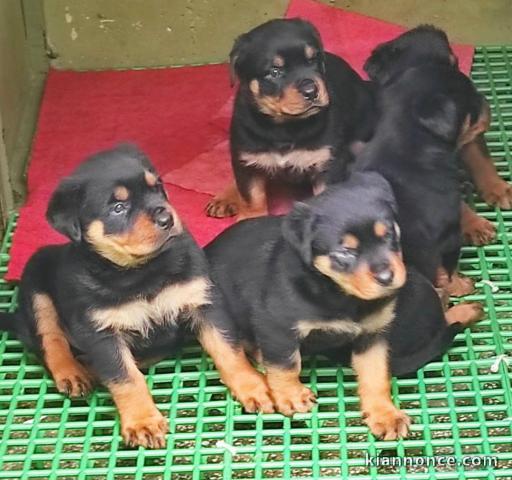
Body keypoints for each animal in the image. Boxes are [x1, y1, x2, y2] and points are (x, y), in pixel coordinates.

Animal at [0, 145, 212, 450]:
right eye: (118, 208)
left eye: (157, 188)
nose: (167, 219)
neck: (139, 270)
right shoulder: (101, 333)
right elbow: (126, 378)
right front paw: (143, 423)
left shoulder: (196, 298)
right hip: (36, 284)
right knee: (50, 339)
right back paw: (72, 373)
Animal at [205, 18, 376, 221]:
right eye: (275, 72)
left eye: (312, 60)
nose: (311, 91)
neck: (284, 127)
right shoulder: (247, 161)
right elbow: (252, 196)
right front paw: (250, 218)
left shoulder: (327, 163)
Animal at [362, 24, 502, 246]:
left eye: (455, 65)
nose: (480, 101)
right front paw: (475, 225)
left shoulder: (467, 131)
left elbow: (480, 157)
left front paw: (499, 188)